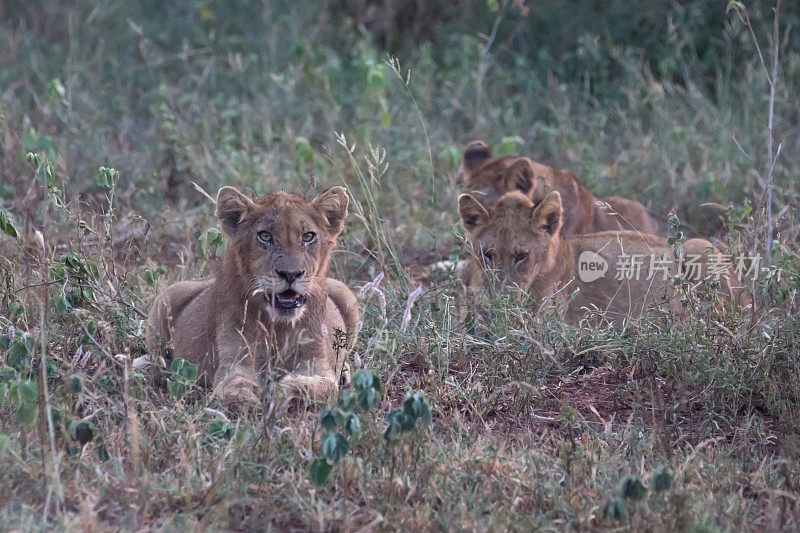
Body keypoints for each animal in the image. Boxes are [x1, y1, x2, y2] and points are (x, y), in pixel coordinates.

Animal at [146, 187, 356, 408]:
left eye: (308, 236)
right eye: (265, 236)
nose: (290, 274)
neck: (278, 328)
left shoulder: (318, 365)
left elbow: (324, 388)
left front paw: (282, 388)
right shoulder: (234, 364)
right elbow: (231, 389)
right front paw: (251, 400)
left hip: (343, 291)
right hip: (166, 297)